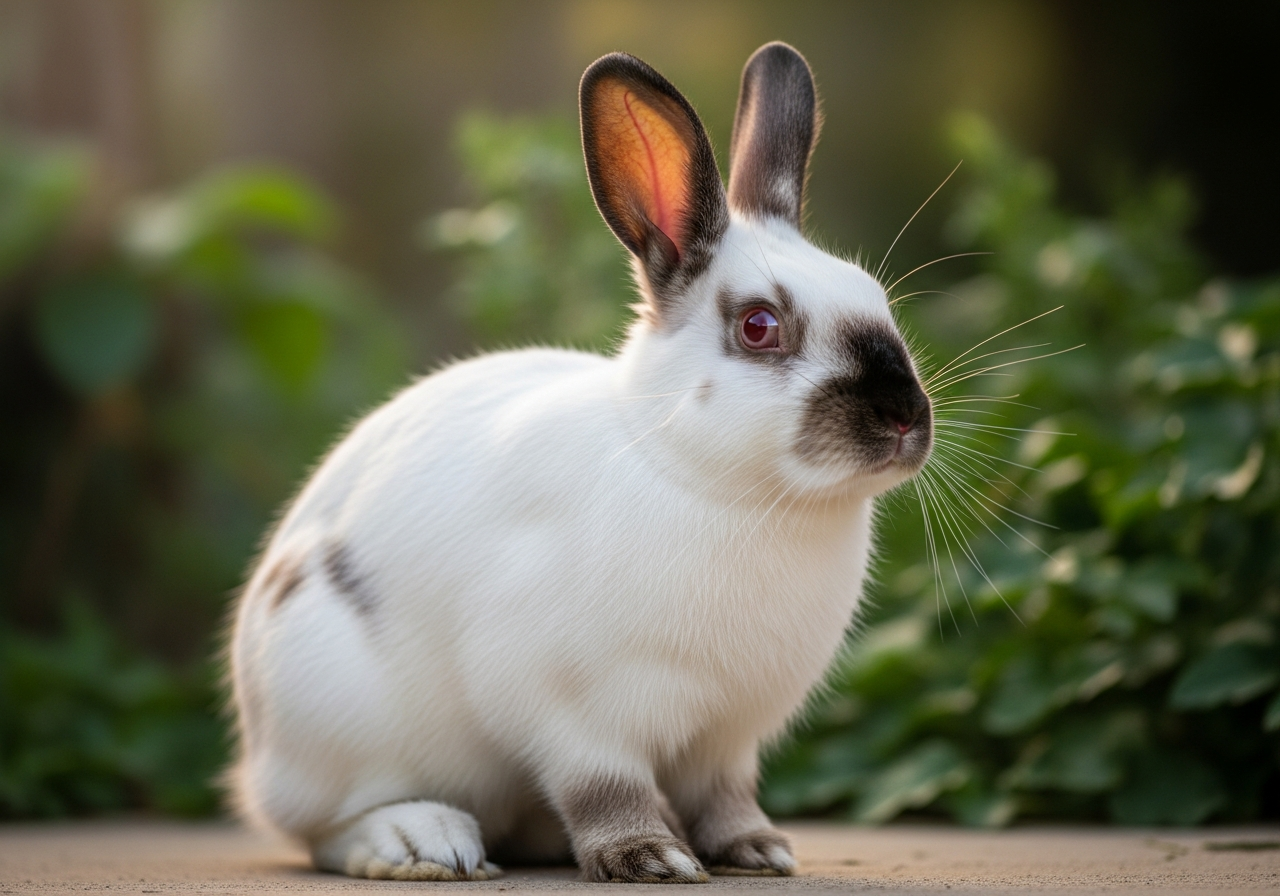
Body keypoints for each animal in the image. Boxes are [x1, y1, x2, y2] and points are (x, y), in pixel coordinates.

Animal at [228, 42, 932, 883]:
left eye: (879, 299)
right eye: (760, 326)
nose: (906, 417)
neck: (711, 483)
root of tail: (256, 750)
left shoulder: (727, 736)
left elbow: (726, 797)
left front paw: (758, 849)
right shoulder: (571, 708)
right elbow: (603, 786)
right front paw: (648, 858)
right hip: (334, 717)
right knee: (322, 827)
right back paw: (423, 843)